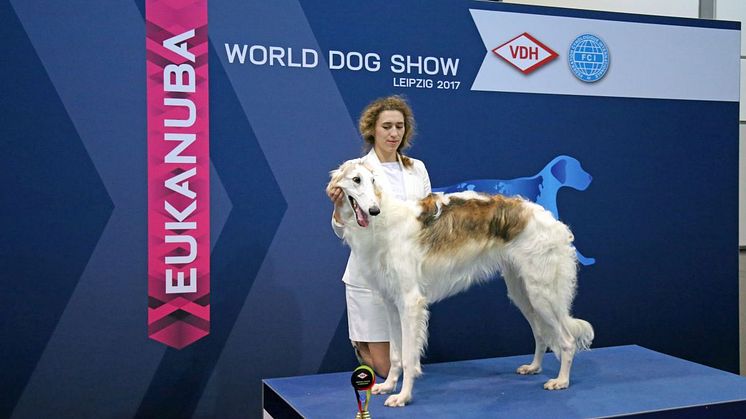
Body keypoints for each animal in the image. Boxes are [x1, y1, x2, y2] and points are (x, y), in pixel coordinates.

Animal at [326, 160, 592, 406]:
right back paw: (534, 367)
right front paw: (389, 385)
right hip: (522, 292)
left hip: (542, 293)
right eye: (356, 180)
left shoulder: (411, 302)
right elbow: (395, 355)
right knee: (540, 333)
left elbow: (409, 357)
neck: (384, 225)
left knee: (567, 340)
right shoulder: (391, 303)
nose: (374, 210)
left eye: (373, 181)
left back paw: (562, 381)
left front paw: (403, 396)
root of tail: (554, 222)